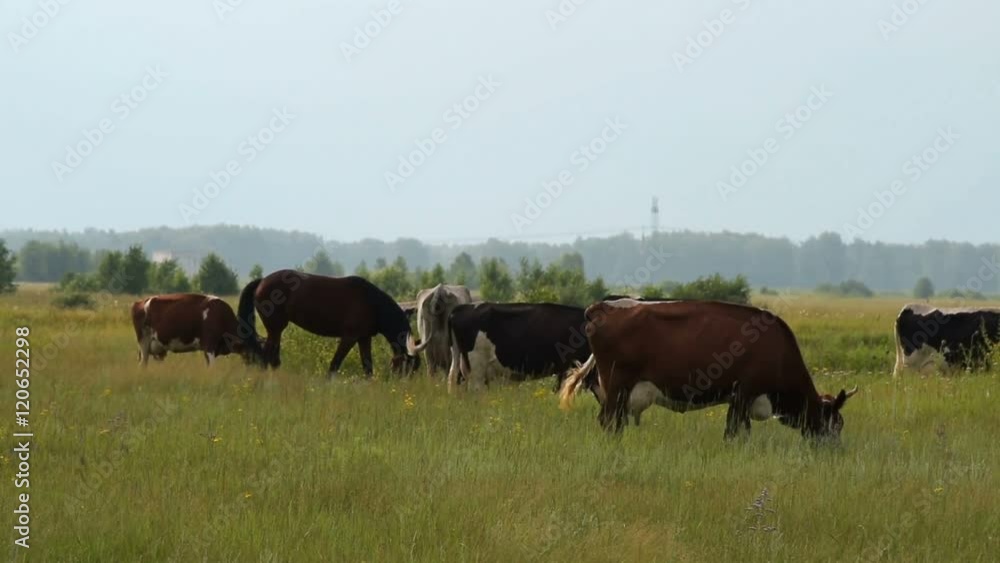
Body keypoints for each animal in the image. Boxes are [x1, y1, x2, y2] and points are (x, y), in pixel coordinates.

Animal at [237, 269, 420, 377]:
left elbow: (367, 367)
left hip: (276, 330)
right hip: (275, 328)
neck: (373, 304)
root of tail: (262, 281)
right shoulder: (349, 337)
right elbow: (335, 364)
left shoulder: (364, 338)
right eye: (408, 368)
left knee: (272, 357)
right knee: (266, 356)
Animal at [559, 299, 858, 442]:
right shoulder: (744, 394)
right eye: (836, 424)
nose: (836, 451)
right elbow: (733, 432)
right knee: (610, 422)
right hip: (617, 385)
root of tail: (600, 307)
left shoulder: (740, 400)